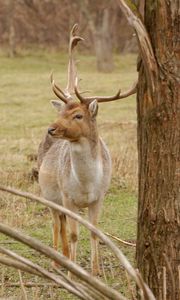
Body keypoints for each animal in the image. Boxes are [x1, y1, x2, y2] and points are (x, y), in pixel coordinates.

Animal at [37, 24, 136, 276]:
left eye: (78, 115)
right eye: (63, 112)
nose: (51, 128)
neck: (86, 184)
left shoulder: (99, 196)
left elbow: (94, 231)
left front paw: (96, 271)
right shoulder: (67, 195)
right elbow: (73, 234)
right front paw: (73, 272)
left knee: (61, 222)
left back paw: (64, 258)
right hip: (48, 193)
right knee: (56, 222)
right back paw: (56, 262)